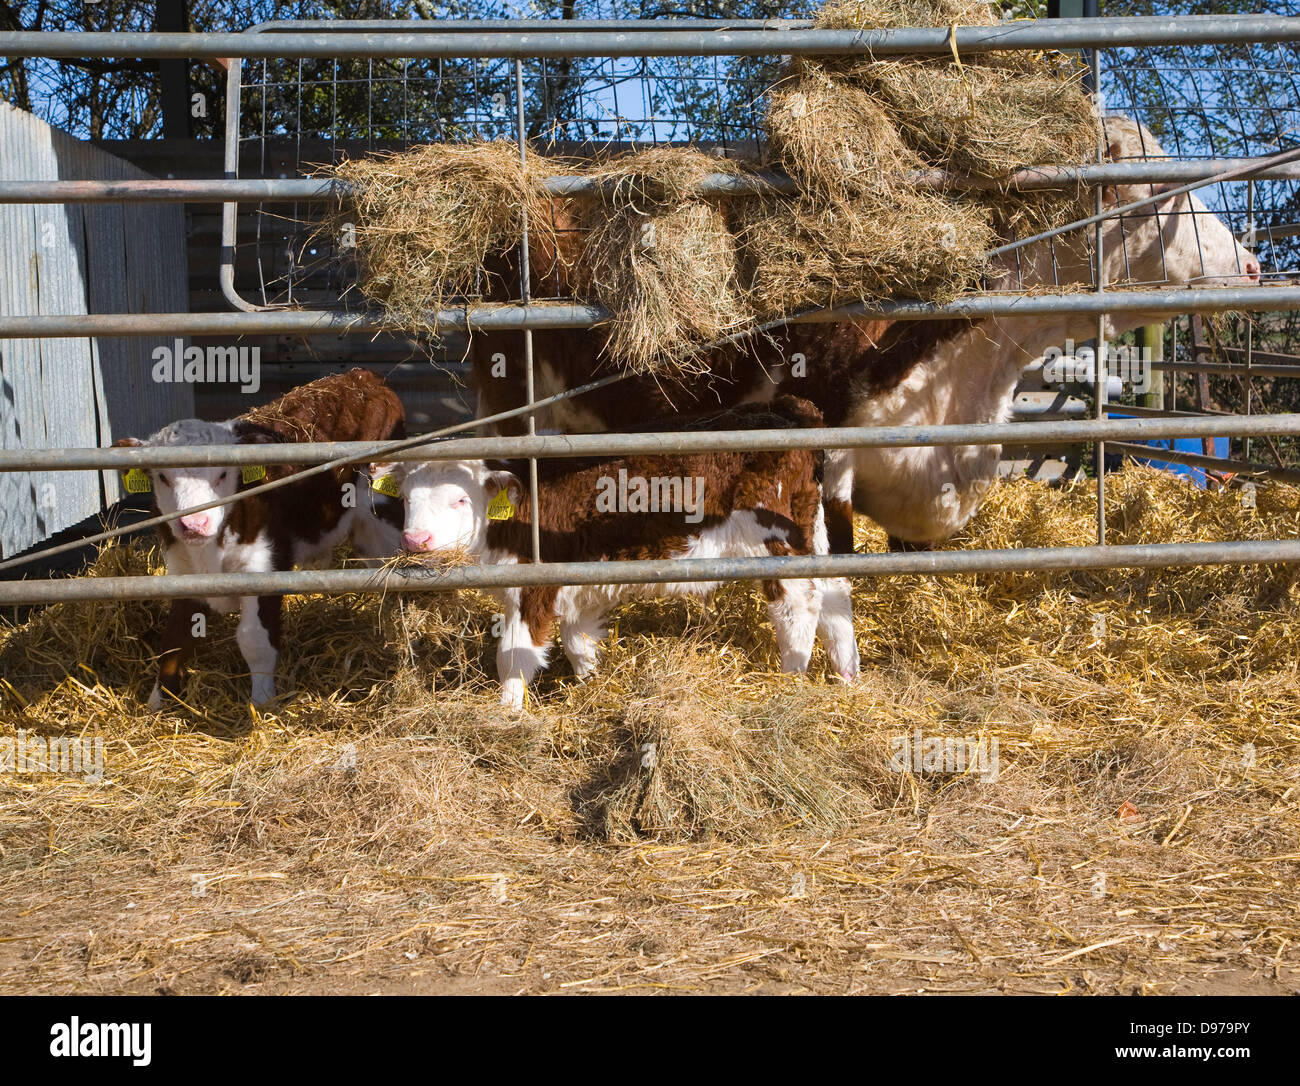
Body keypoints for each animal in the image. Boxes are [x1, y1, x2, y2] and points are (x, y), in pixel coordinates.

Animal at [112, 368, 405, 710]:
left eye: (222, 474)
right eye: (163, 477)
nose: (194, 523)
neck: (210, 553)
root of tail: (361, 377)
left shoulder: (263, 569)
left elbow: (254, 641)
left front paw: (263, 703)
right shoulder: (183, 573)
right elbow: (175, 640)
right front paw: (158, 701)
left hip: (381, 513)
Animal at [371, 397, 859, 709]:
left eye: (460, 499)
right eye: (407, 497)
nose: (416, 541)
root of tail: (790, 406)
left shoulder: (533, 584)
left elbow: (513, 655)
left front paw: (506, 716)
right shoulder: (576, 583)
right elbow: (577, 642)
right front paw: (592, 685)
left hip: (776, 539)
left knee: (799, 603)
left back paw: (791, 678)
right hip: (810, 527)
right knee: (835, 590)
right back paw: (847, 674)